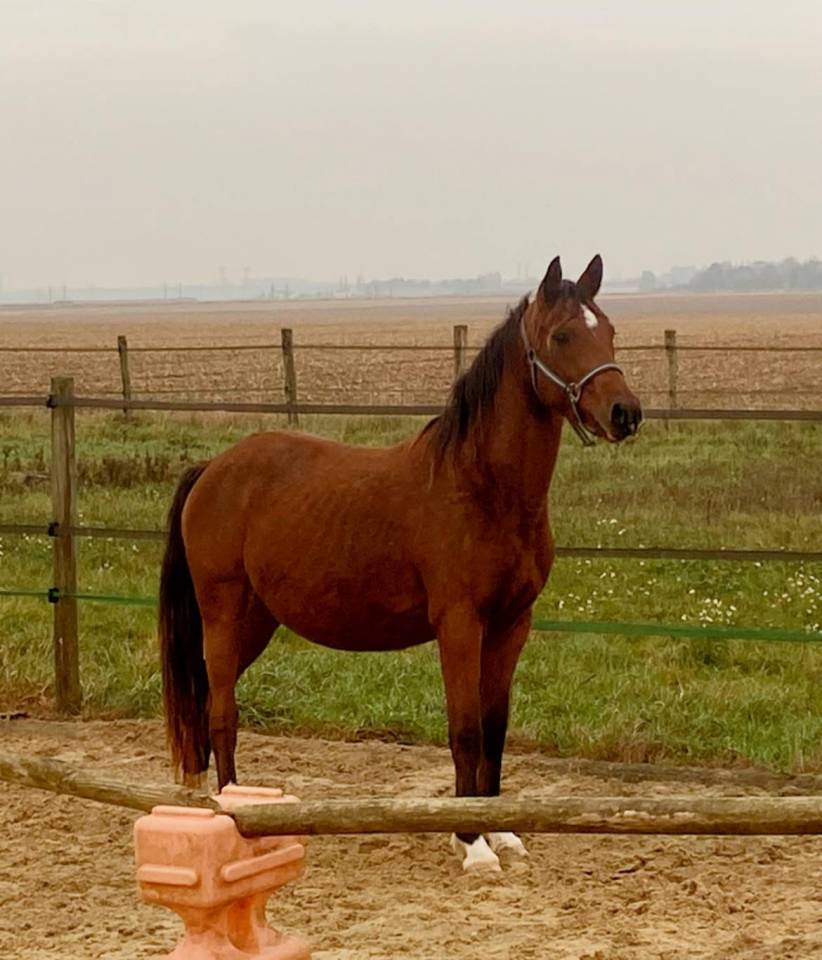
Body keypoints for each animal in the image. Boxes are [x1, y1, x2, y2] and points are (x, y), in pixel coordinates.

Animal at [159, 254, 642, 871]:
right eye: (562, 336)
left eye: (609, 330)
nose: (626, 413)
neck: (481, 488)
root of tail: (213, 469)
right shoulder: (459, 625)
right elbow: (465, 730)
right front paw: (471, 844)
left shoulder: (511, 625)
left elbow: (495, 729)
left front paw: (501, 831)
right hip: (223, 615)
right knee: (223, 712)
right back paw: (231, 813)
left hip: (257, 623)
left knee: (208, 705)